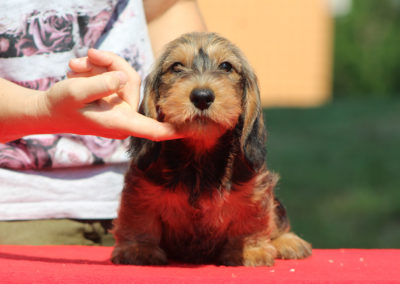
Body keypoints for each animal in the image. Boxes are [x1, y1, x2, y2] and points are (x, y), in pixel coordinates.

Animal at [110, 32, 312, 266]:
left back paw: (288, 241)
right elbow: (140, 220)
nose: (202, 96)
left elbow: (251, 222)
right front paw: (139, 249)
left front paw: (250, 250)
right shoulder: (141, 189)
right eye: (176, 67)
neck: (200, 155)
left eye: (226, 66)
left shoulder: (255, 189)